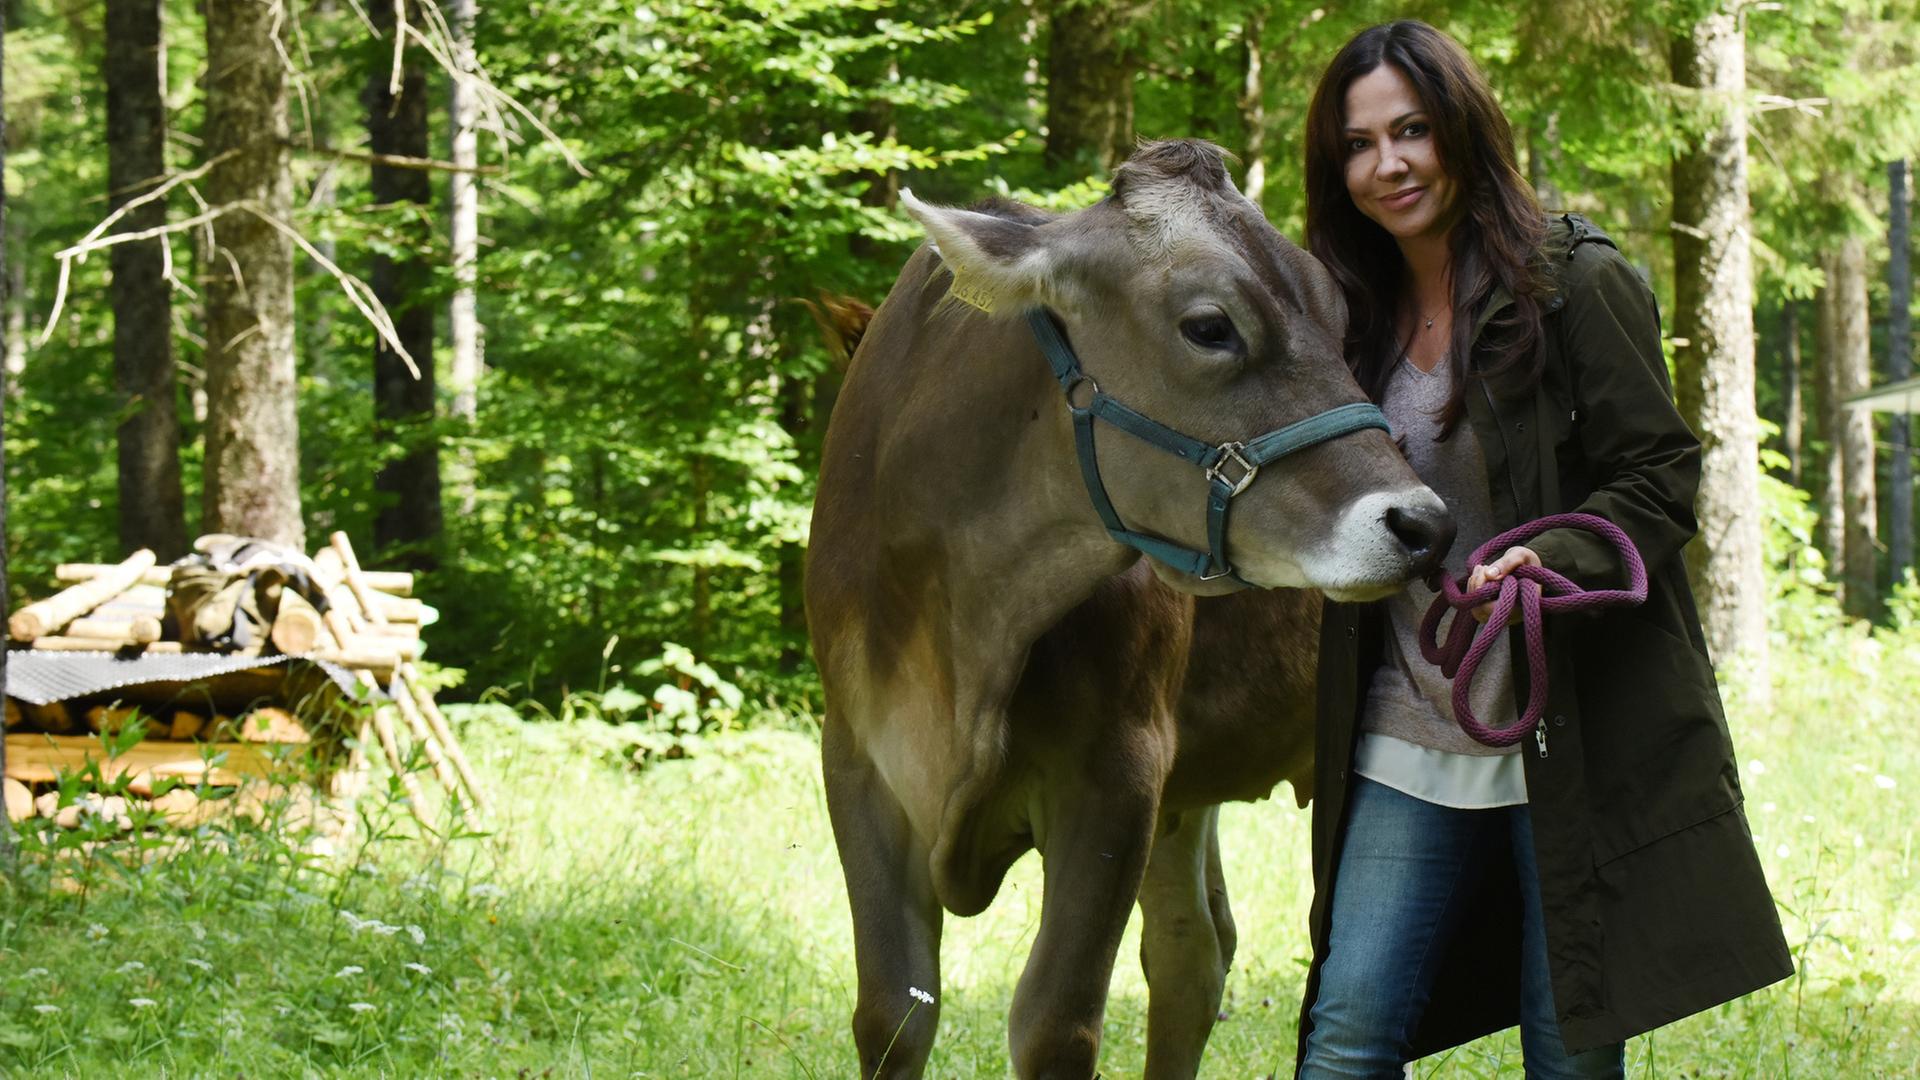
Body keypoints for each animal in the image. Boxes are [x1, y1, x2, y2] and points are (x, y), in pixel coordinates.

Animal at [805, 140, 1453, 1079]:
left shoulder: (1118, 768)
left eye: (1340, 318)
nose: (1423, 524)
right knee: (1195, 950)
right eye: (1210, 326)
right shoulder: (857, 756)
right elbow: (893, 1012)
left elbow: (1054, 1022)